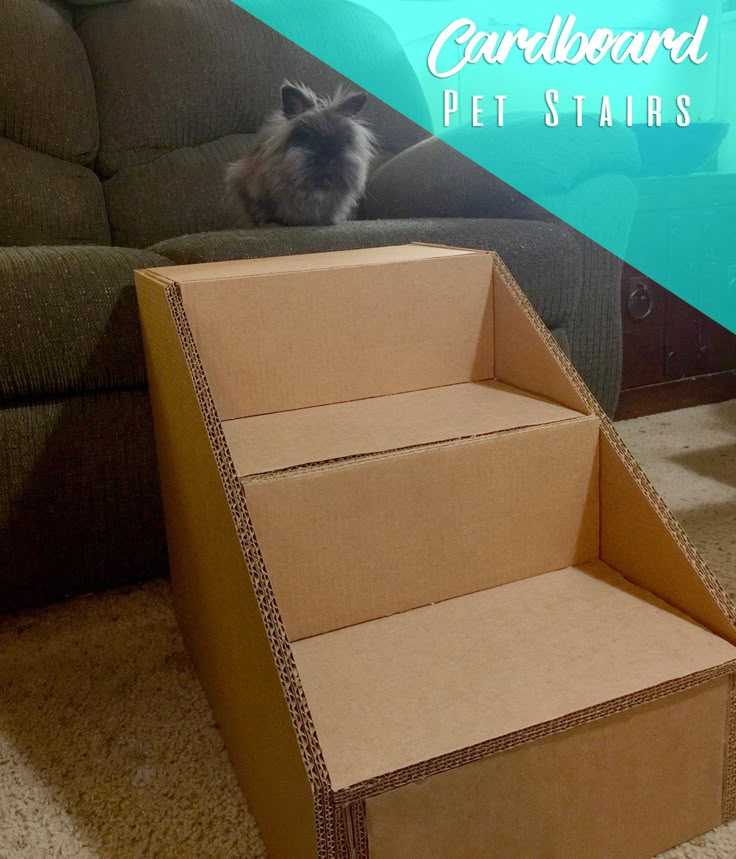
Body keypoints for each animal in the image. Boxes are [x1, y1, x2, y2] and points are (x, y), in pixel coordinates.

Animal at [226, 81, 376, 227]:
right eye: (307, 137)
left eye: (343, 140)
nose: (328, 160)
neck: (315, 190)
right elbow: (262, 211)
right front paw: (270, 223)